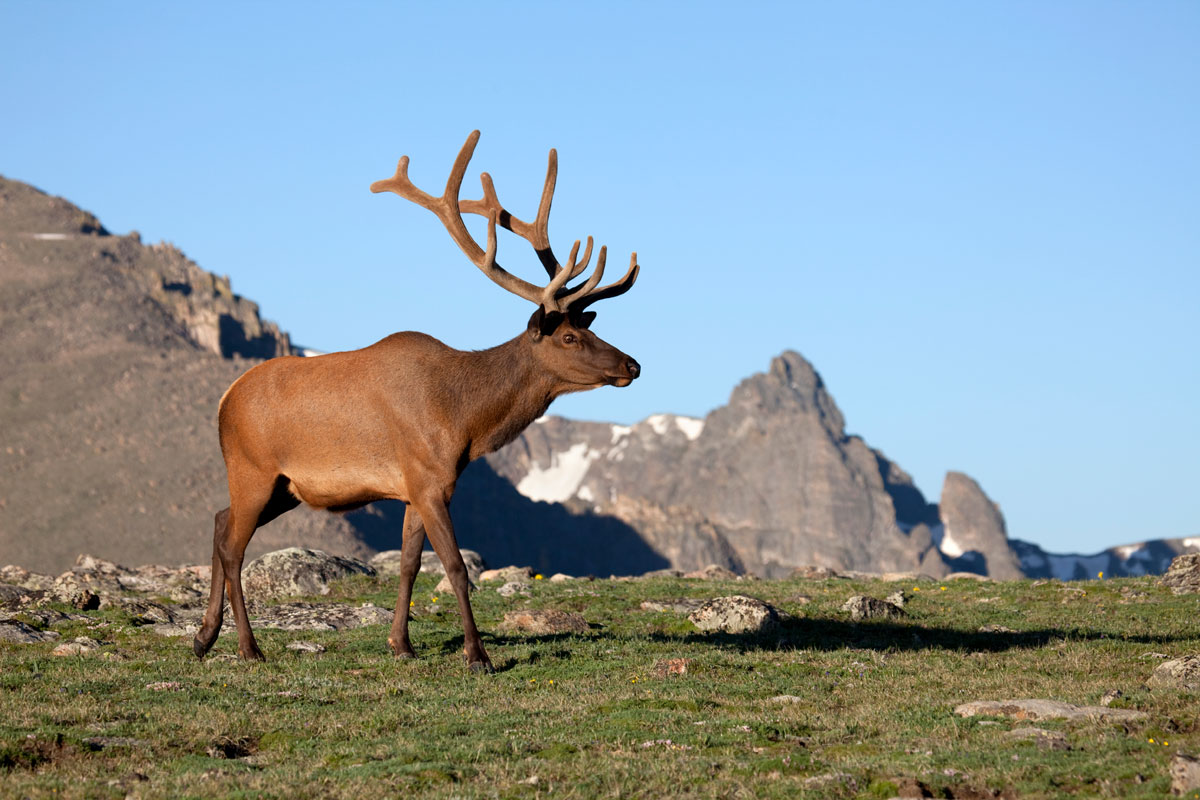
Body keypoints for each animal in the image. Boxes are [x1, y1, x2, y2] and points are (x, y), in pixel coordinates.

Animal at [192, 131, 641, 672]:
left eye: (589, 328)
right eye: (570, 337)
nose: (632, 365)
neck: (466, 421)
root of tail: (224, 399)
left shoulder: (411, 488)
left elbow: (408, 565)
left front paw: (401, 644)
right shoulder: (430, 480)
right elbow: (454, 567)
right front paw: (477, 655)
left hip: (285, 486)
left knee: (219, 522)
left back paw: (203, 637)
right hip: (253, 469)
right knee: (233, 546)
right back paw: (247, 647)